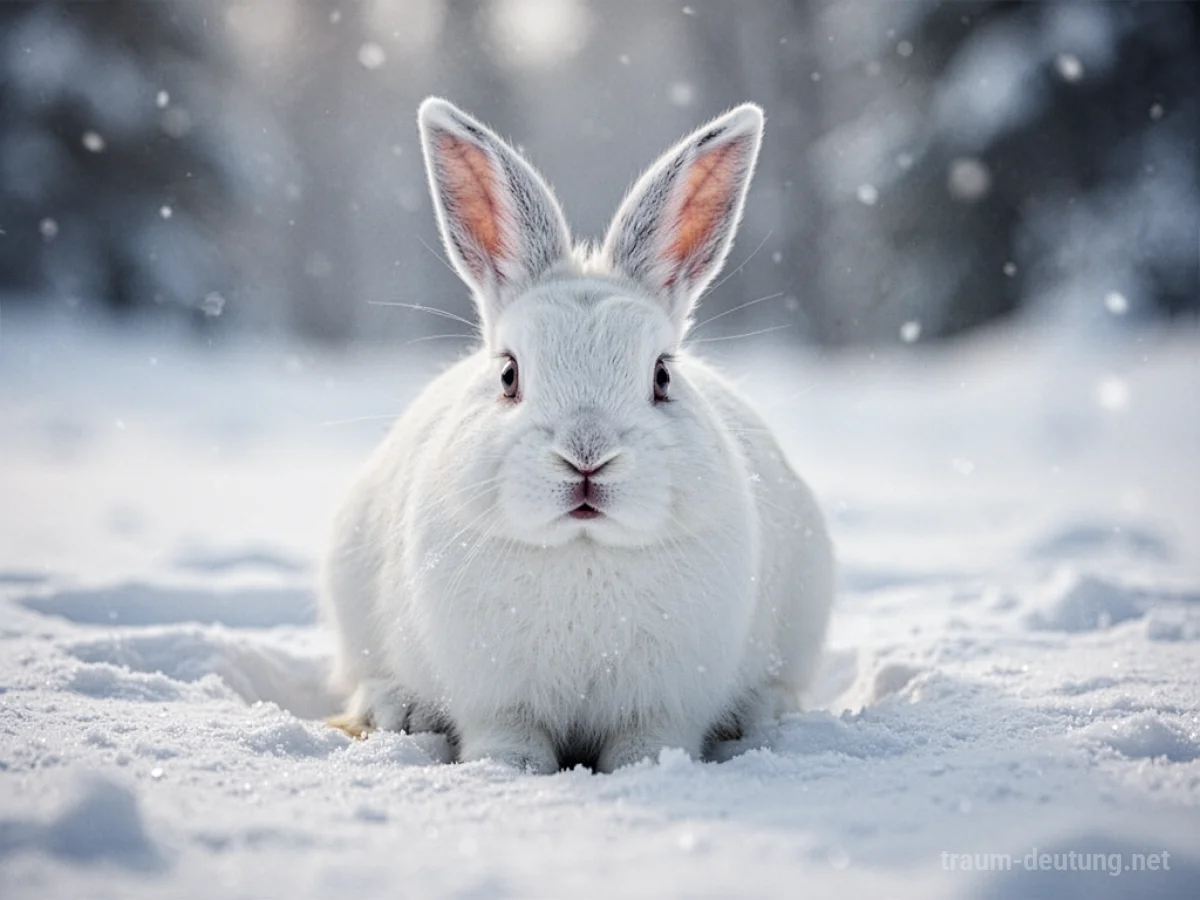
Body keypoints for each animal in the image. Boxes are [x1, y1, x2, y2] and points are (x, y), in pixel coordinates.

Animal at [320, 97, 834, 774]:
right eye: (509, 375)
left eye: (662, 375)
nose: (586, 458)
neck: (582, 547)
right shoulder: (500, 700)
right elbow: (510, 739)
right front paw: (506, 771)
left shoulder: (662, 701)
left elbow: (648, 740)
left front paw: (649, 769)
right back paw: (395, 709)